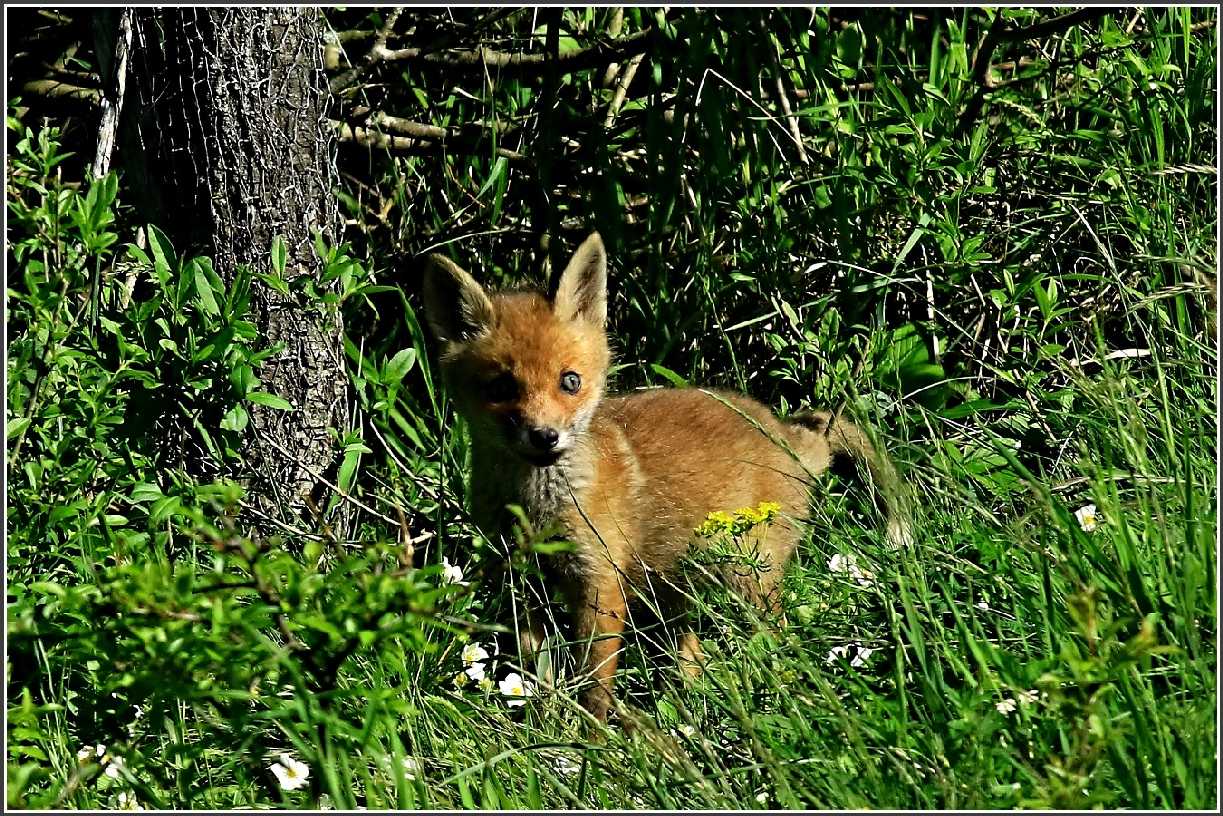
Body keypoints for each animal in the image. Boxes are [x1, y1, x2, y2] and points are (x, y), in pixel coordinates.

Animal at [420, 232, 909, 724]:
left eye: (569, 381)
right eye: (502, 388)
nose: (545, 436)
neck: (537, 509)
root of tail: (785, 432)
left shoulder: (601, 581)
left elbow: (594, 685)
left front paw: (590, 739)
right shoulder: (520, 580)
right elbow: (535, 669)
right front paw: (545, 722)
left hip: (749, 578)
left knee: (781, 641)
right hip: (677, 590)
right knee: (691, 654)